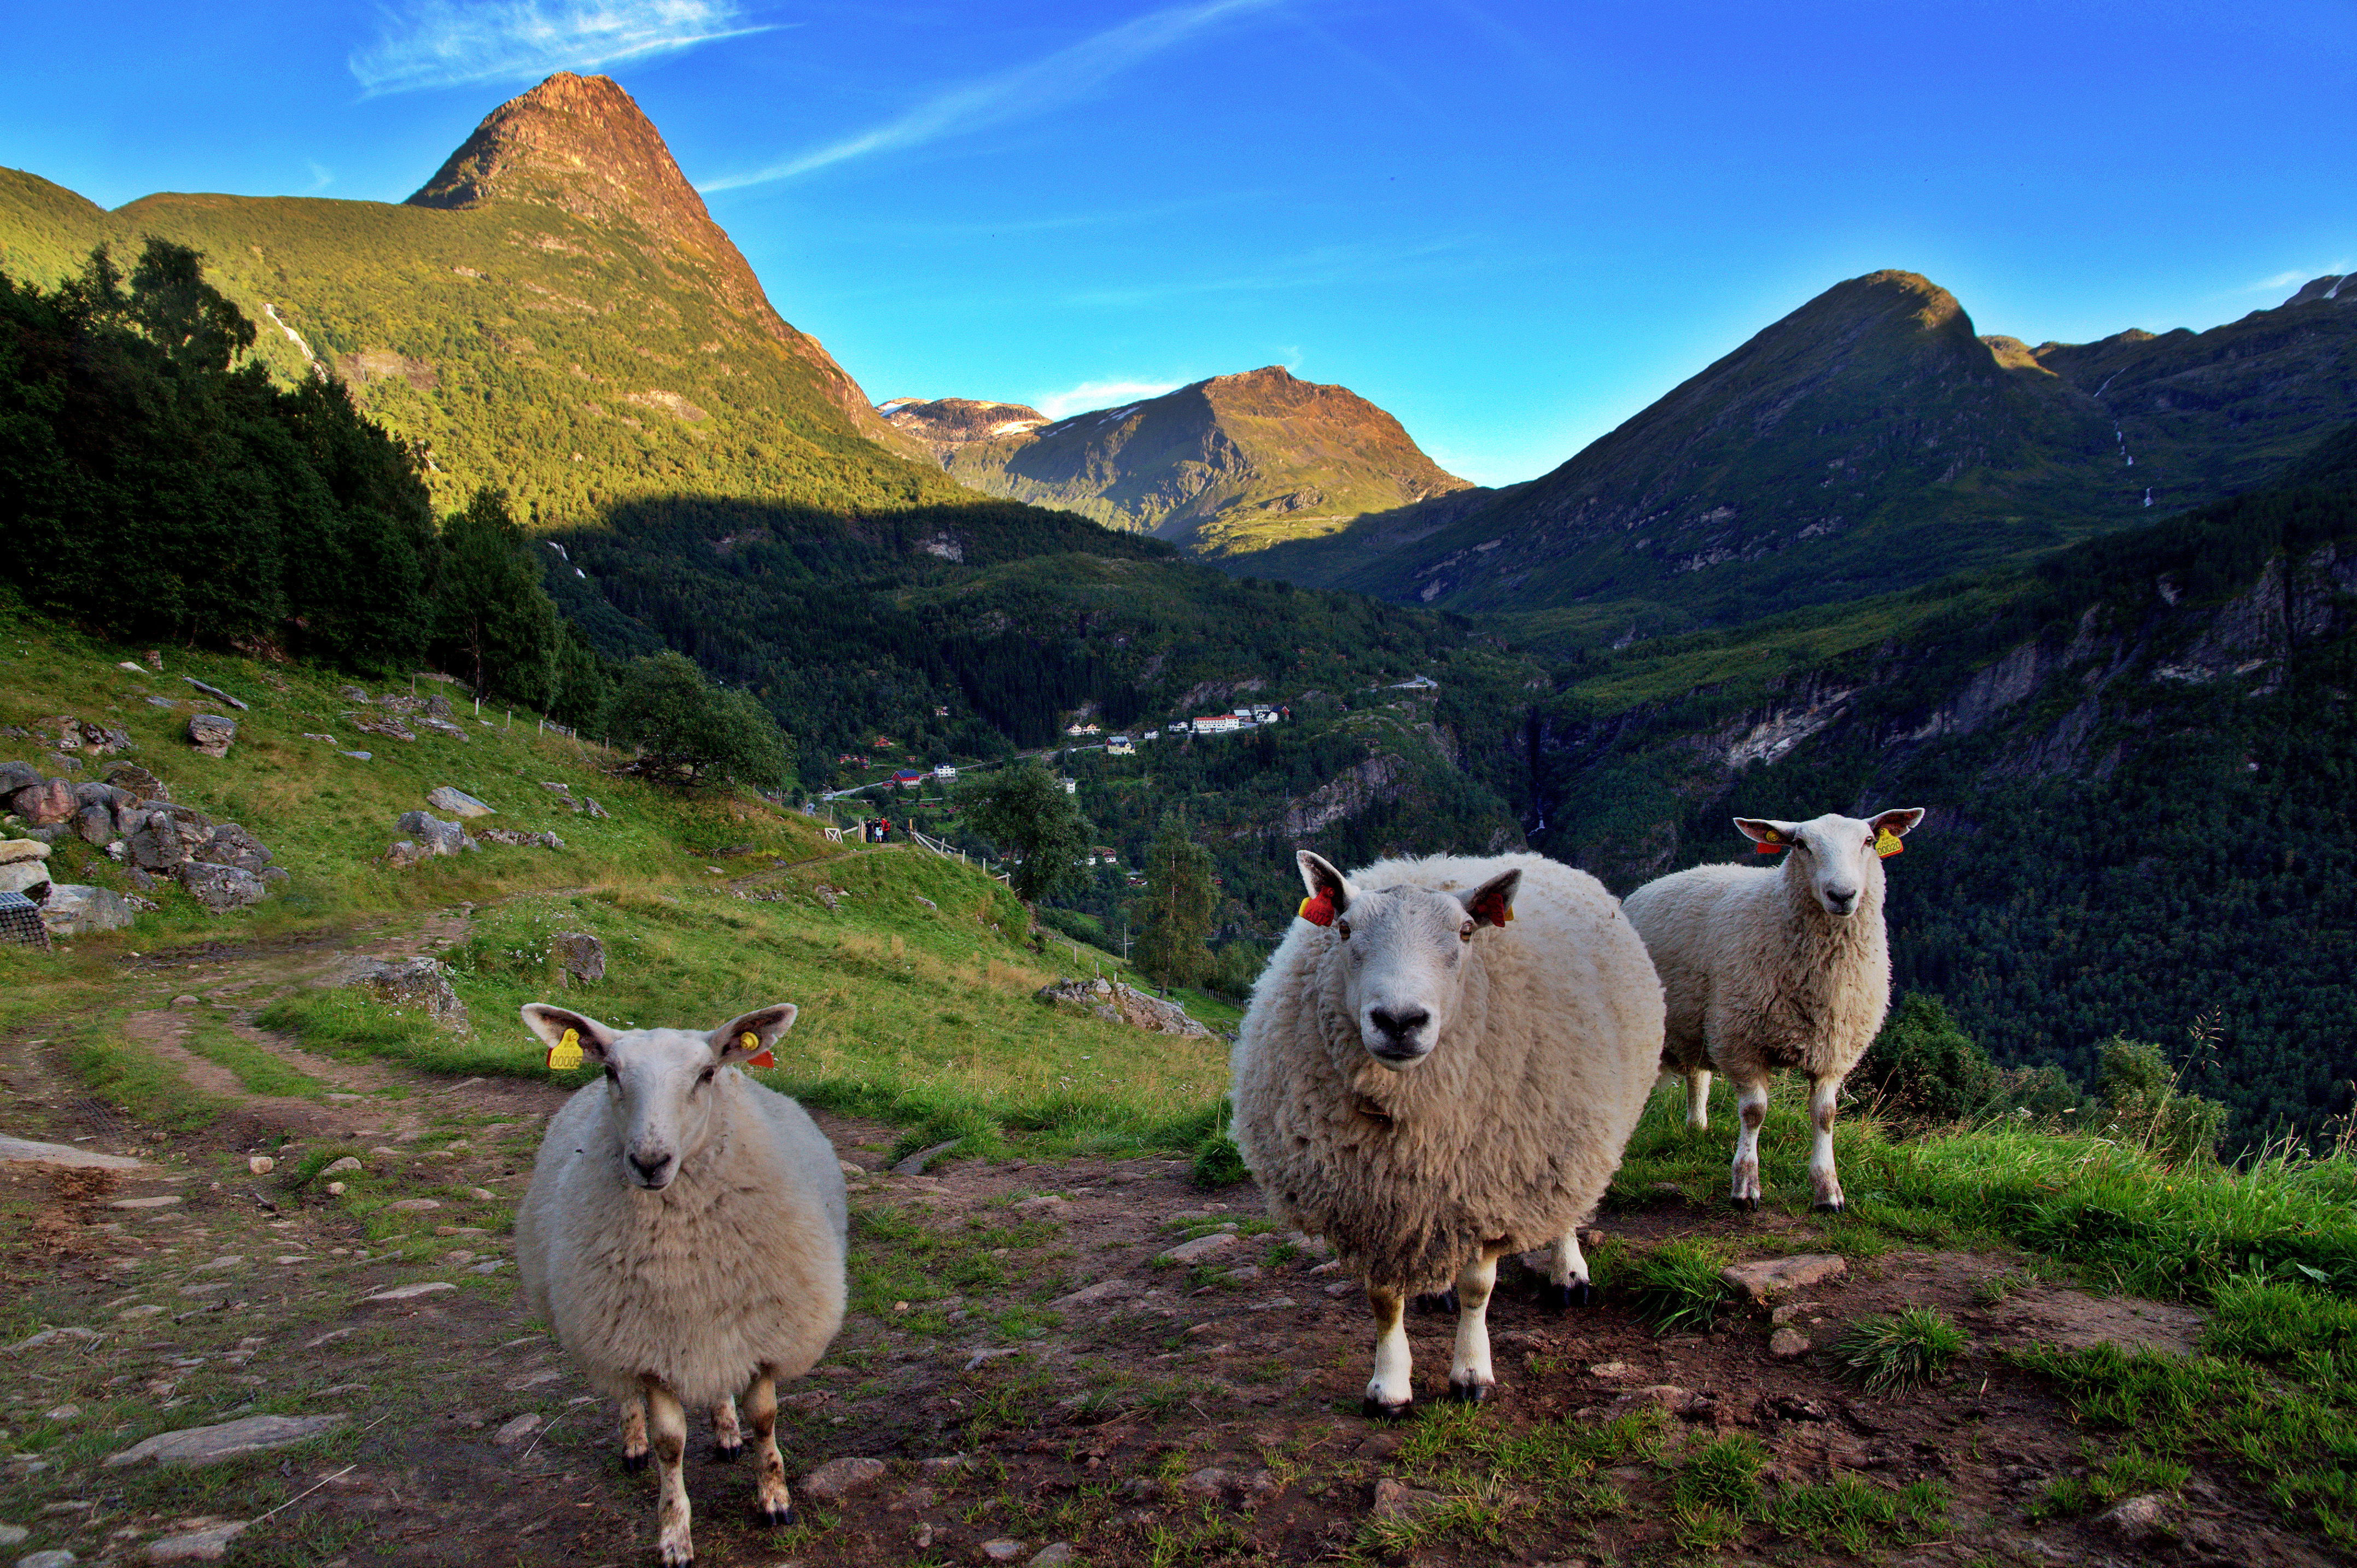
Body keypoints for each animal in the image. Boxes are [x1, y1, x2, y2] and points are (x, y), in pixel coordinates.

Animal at [516, 1004, 848, 1565]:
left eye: (707, 1074)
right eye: (611, 1072)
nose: (650, 1162)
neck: (685, 1261)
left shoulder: (761, 1329)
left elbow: (765, 1417)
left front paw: (775, 1500)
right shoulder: (646, 1345)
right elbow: (670, 1443)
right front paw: (674, 1535)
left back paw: (727, 1432)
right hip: (605, 1323)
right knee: (623, 1392)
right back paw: (633, 1443)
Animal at [1226, 849, 1668, 1414]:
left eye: (1465, 932)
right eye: (1344, 929)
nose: (1399, 1021)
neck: (1411, 1124)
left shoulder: (1489, 1189)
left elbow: (1480, 1287)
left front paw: (1471, 1374)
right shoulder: (1373, 1204)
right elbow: (1383, 1299)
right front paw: (1388, 1388)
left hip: (1567, 1143)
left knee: (1568, 1206)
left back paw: (1568, 1275)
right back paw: (1437, 1291)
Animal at [1631, 806, 1923, 1207]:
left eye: (1869, 841)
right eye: (1801, 845)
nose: (1842, 894)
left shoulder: (1832, 1049)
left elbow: (1826, 1115)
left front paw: (1828, 1190)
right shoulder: (1741, 1040)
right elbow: (1754, 1112)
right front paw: (1745, 1186)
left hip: (1698, 1022)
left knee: (1697, 1075)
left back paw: (1696, 1128)